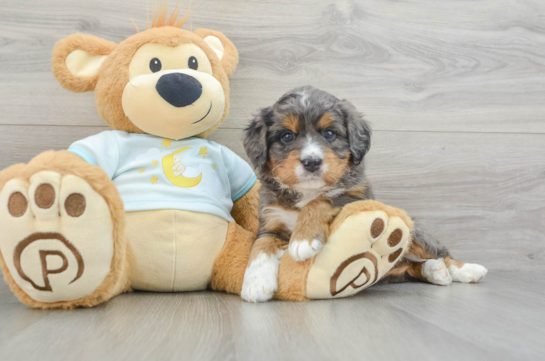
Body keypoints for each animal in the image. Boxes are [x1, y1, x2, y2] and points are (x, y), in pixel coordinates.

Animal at [240, 85, 486, 300]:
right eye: (287, 136)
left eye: (330, 134)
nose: (312, 162)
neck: (307, 191)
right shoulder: (270, 220)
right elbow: (261, 246)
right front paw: (255, 283)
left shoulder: (356, 197)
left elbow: (321, 201)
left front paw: (303, 240)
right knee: (410, 267)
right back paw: (434, 271)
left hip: (416, 233)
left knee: (441, 253)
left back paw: (465, 270)